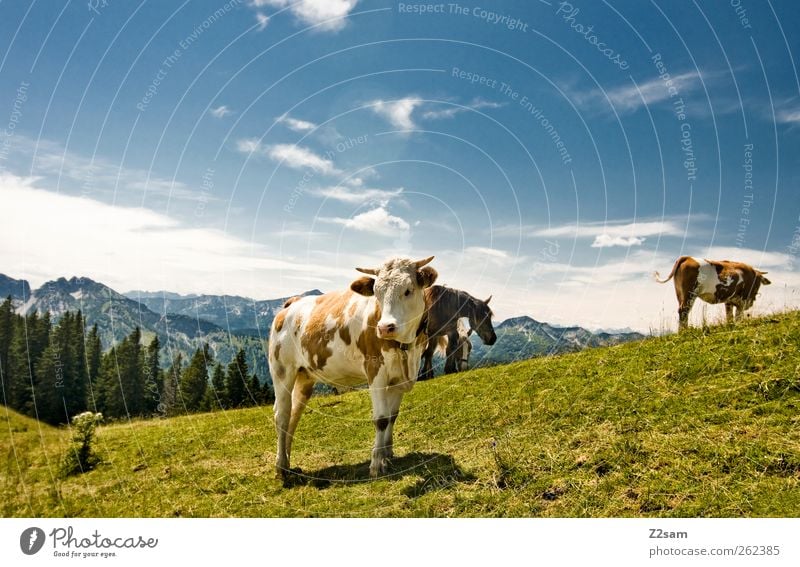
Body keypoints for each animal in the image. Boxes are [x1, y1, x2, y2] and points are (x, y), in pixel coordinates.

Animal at [268, 256, 438, 480]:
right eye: (376, 293)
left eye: (408, 290)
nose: (385, 328)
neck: (407, 349)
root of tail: (292, 303)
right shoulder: (375, 371)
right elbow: (381, 419)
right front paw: (376, 465)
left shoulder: (399, 378)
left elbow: (392, 416)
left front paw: (387, 455)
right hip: (281, 370)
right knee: (282, 415)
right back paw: (280, 467)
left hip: (304, 376)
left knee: (293, 415)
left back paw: (288, 463)